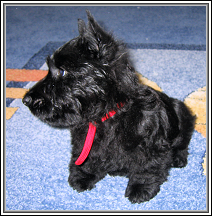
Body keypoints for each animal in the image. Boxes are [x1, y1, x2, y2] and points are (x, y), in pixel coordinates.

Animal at [22, 11, 195, 203]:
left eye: (61, 71)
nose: (25, 99)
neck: (106, 116)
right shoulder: (84, 142)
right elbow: (86, 159)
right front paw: (83, 176)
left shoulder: (151, 146)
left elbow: (146, 168)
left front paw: (140, 188)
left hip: (181, 114)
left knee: (182, 144)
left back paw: (178, 159)